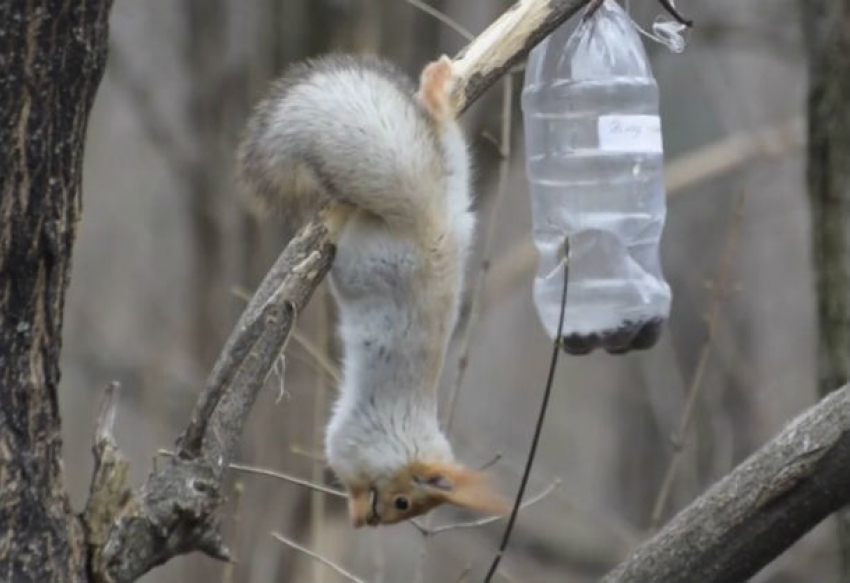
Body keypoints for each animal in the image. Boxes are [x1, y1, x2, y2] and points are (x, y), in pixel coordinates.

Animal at [235, 56, 506, 528]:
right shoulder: (356, 442)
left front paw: (357, 510)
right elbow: (349, 470)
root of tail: (428, 219)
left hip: (453, 200)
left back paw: (437, 94)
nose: (370, 524)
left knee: (452, 148)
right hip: (369, 261)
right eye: (403, 503)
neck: (405, 441)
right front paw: (358, 504)